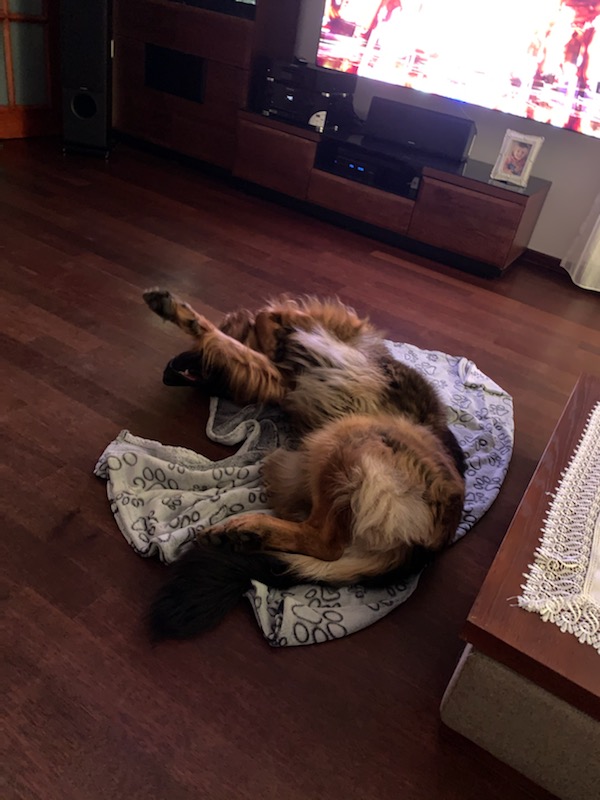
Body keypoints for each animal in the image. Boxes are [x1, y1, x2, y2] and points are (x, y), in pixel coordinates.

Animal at [143, 289, 466, 640]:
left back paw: (251, 530)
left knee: (325, 543)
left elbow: (255, 325)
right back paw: (251, 535)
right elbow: (257, 333)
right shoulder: (280, 378)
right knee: (320, 539)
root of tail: (429, 548)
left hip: (347, 436)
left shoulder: (302, 356)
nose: (165, 374)